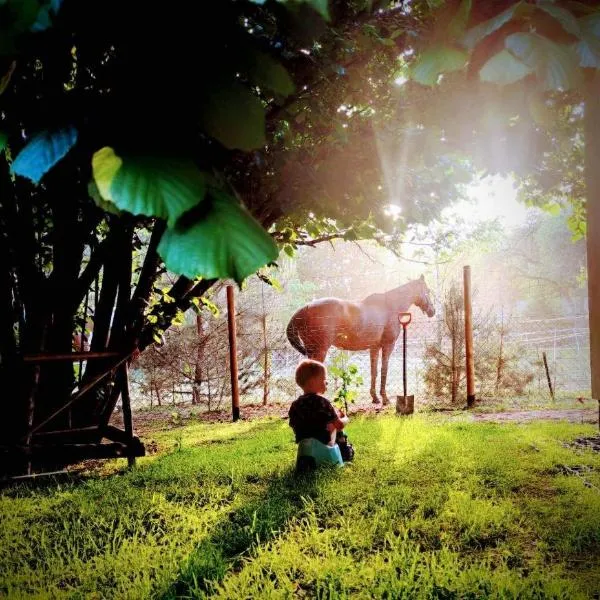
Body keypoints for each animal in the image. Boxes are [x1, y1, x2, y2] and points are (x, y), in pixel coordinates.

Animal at [288, 276, 436, 404]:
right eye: (428, 290)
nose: (432, 311)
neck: (390, 306)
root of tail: (305, 308)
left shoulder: (374, 348)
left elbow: (374, 372)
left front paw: (375, 397)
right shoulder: (388, 345)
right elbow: (384, 370)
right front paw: (385, 398)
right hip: (320, 351)